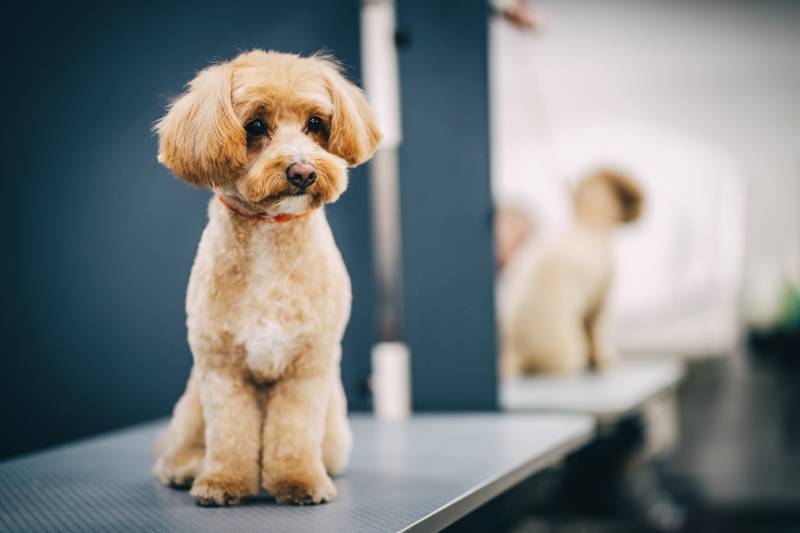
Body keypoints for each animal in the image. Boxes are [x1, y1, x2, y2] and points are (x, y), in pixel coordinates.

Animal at [154, 51, 384, 508]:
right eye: (256, 125)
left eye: (315, 123)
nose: (303, 172)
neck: (269, 237)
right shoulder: (221, 368)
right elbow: (230, 433)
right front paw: (222, 481)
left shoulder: (307, 368)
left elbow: (293, 432)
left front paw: (299, 481)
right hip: (190, 405)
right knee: (179, 447)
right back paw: (186, 467)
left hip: (335, 427)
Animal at [500, 169, 644, 374]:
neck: (588, 224)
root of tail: (517, 351)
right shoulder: (600, 300)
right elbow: (597, 334)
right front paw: (604, 359)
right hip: (571, 350)